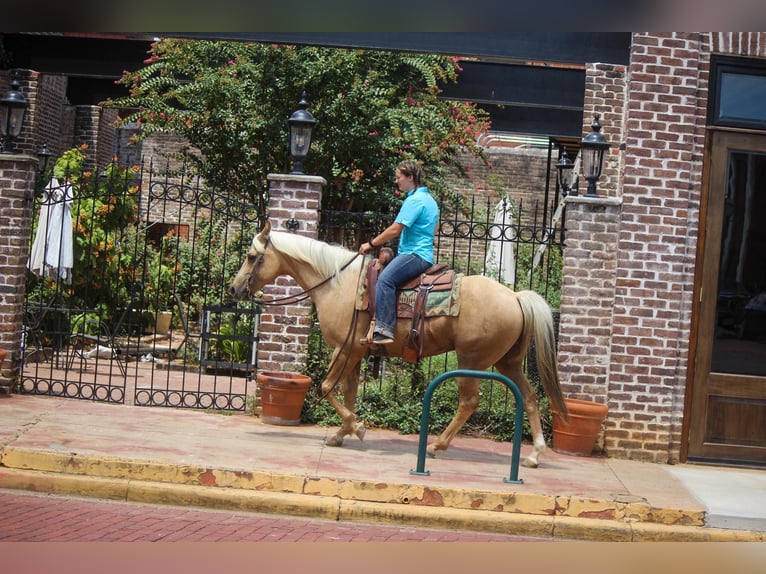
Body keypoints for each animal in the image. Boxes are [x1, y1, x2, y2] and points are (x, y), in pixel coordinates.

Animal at [231, 220, 568, 468]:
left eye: (252, 256)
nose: (234, 289)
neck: (338, 284)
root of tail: (515, 296)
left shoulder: (345, 349)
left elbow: (326, 387)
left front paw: (357, 428)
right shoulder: (355, 352)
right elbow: (349, 394)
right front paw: (343, 433)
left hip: (471, 360)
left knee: (469, 402)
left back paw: (437, 445)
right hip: (508, 362)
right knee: (530, 397)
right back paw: (535, 454)